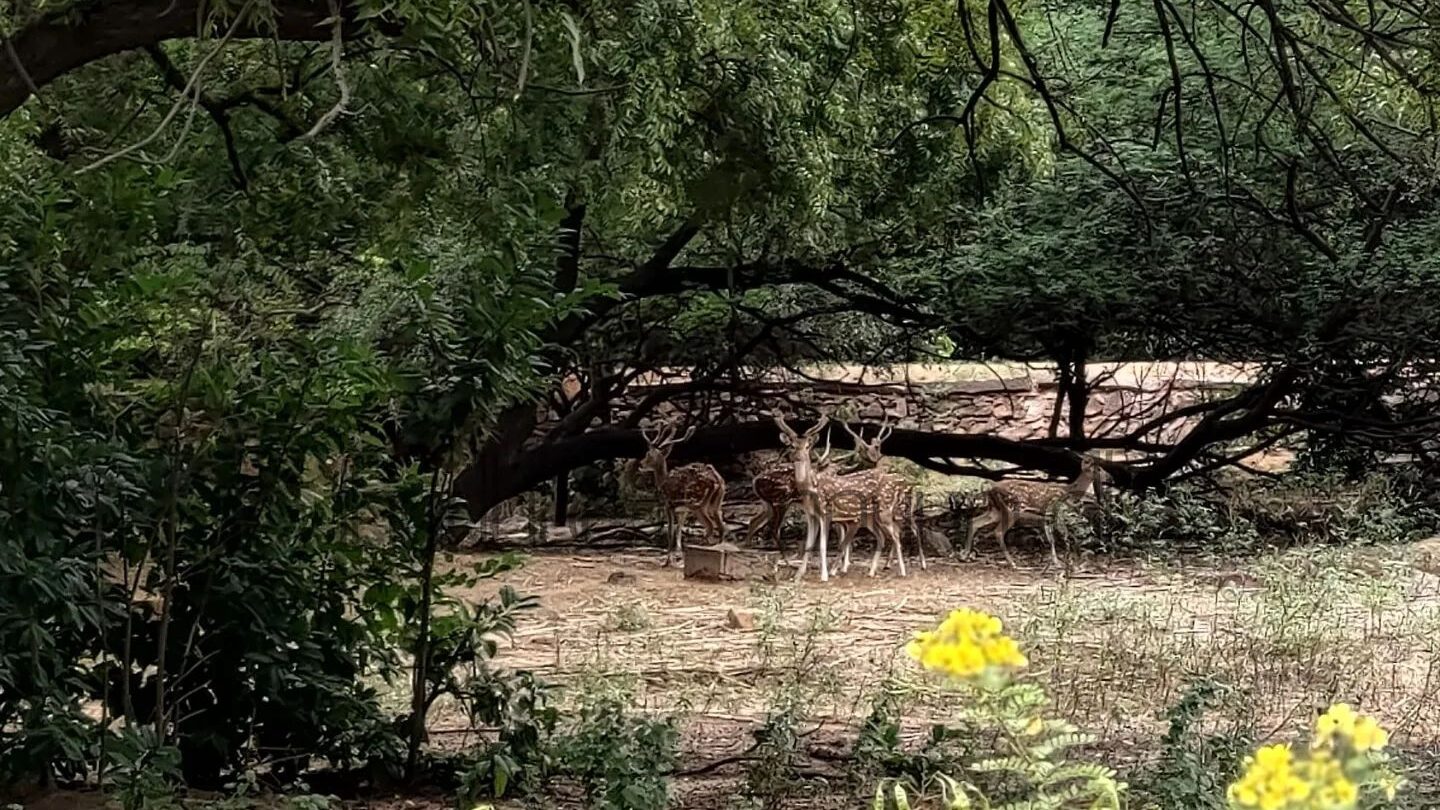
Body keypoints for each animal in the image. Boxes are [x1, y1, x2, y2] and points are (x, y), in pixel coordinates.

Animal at [642, 417, 731, 564]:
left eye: (648, 454)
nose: (641, 464)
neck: (662, 481)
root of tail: (717, 482)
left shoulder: (669, 504)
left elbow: (671, 531)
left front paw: (668, 560)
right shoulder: (683, 510)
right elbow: (679, 530)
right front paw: (678, 556)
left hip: (697, 503)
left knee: (710, 526)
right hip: (716, 504)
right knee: (722, 527)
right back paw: (721, 552)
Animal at [967, 455, 1111, 567]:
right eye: (1098, 469)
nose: (1110, 477)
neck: (1068, 493)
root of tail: (990, 489)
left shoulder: (1047, 517)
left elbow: (1052, 538)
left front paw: (1057, 561)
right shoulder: (1056, 511)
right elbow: (1063, 536)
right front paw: (1064, 562)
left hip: (995, 510)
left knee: (975, 522)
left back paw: (966, 555)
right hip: (1011, 510)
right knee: (998, 532)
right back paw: (1012, 563)